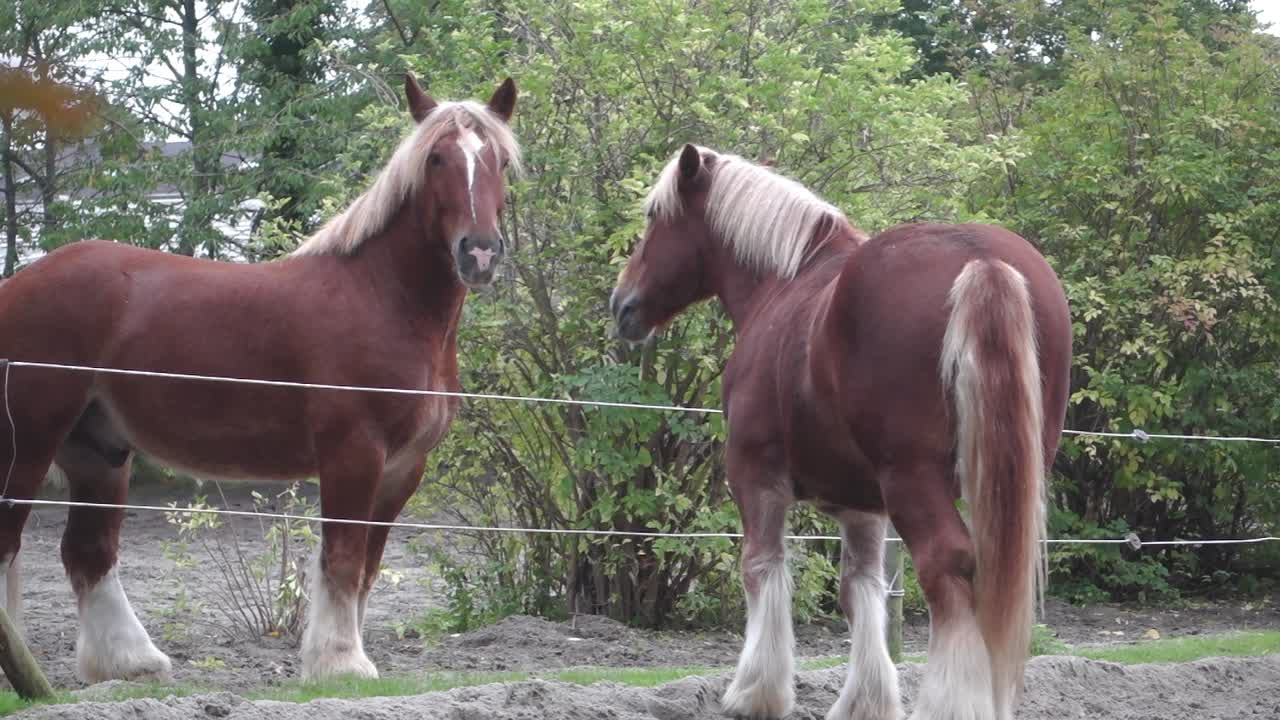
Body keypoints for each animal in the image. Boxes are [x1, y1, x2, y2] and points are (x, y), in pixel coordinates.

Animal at [0, 73, 521, 684]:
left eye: (500, 160)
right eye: (436, 157)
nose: (479, 252)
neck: (383, 298)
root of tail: (17, 285)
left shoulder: (402, 468)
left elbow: (367, 567)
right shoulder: (353, 453)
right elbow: (343, 560)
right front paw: (340, 665)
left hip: (97, 450)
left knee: (89, 553)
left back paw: (129, 663)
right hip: (28, 443)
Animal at [610, 144, 1071, 720]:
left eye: (655, 217)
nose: (621, 305)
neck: (786, 284)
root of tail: (982, 262)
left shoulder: (754, 476)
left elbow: (762, 567)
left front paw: (755, 692)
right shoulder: (862, 507)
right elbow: (862, 590)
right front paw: (865, 702)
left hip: (913, 479)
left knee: (947, 567)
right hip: (1014, 478)